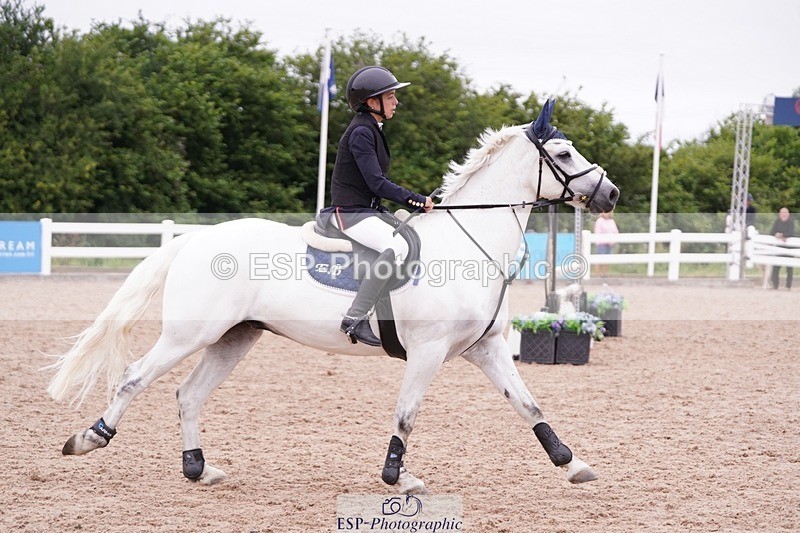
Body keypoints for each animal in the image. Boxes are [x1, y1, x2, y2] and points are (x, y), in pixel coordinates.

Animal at [47, 99, 619, 494]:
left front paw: (573, 463)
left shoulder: (487, 348)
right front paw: (397, 477)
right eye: (563, 153)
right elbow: (407, 414)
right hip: (191, 333)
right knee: (134, 377)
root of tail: (194, 239)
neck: (469, 242)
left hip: (235, 337)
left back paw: (198, 468)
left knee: (188, 394)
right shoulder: (429, 351)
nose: (610, 194)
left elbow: (528, 404)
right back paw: (89, 438)